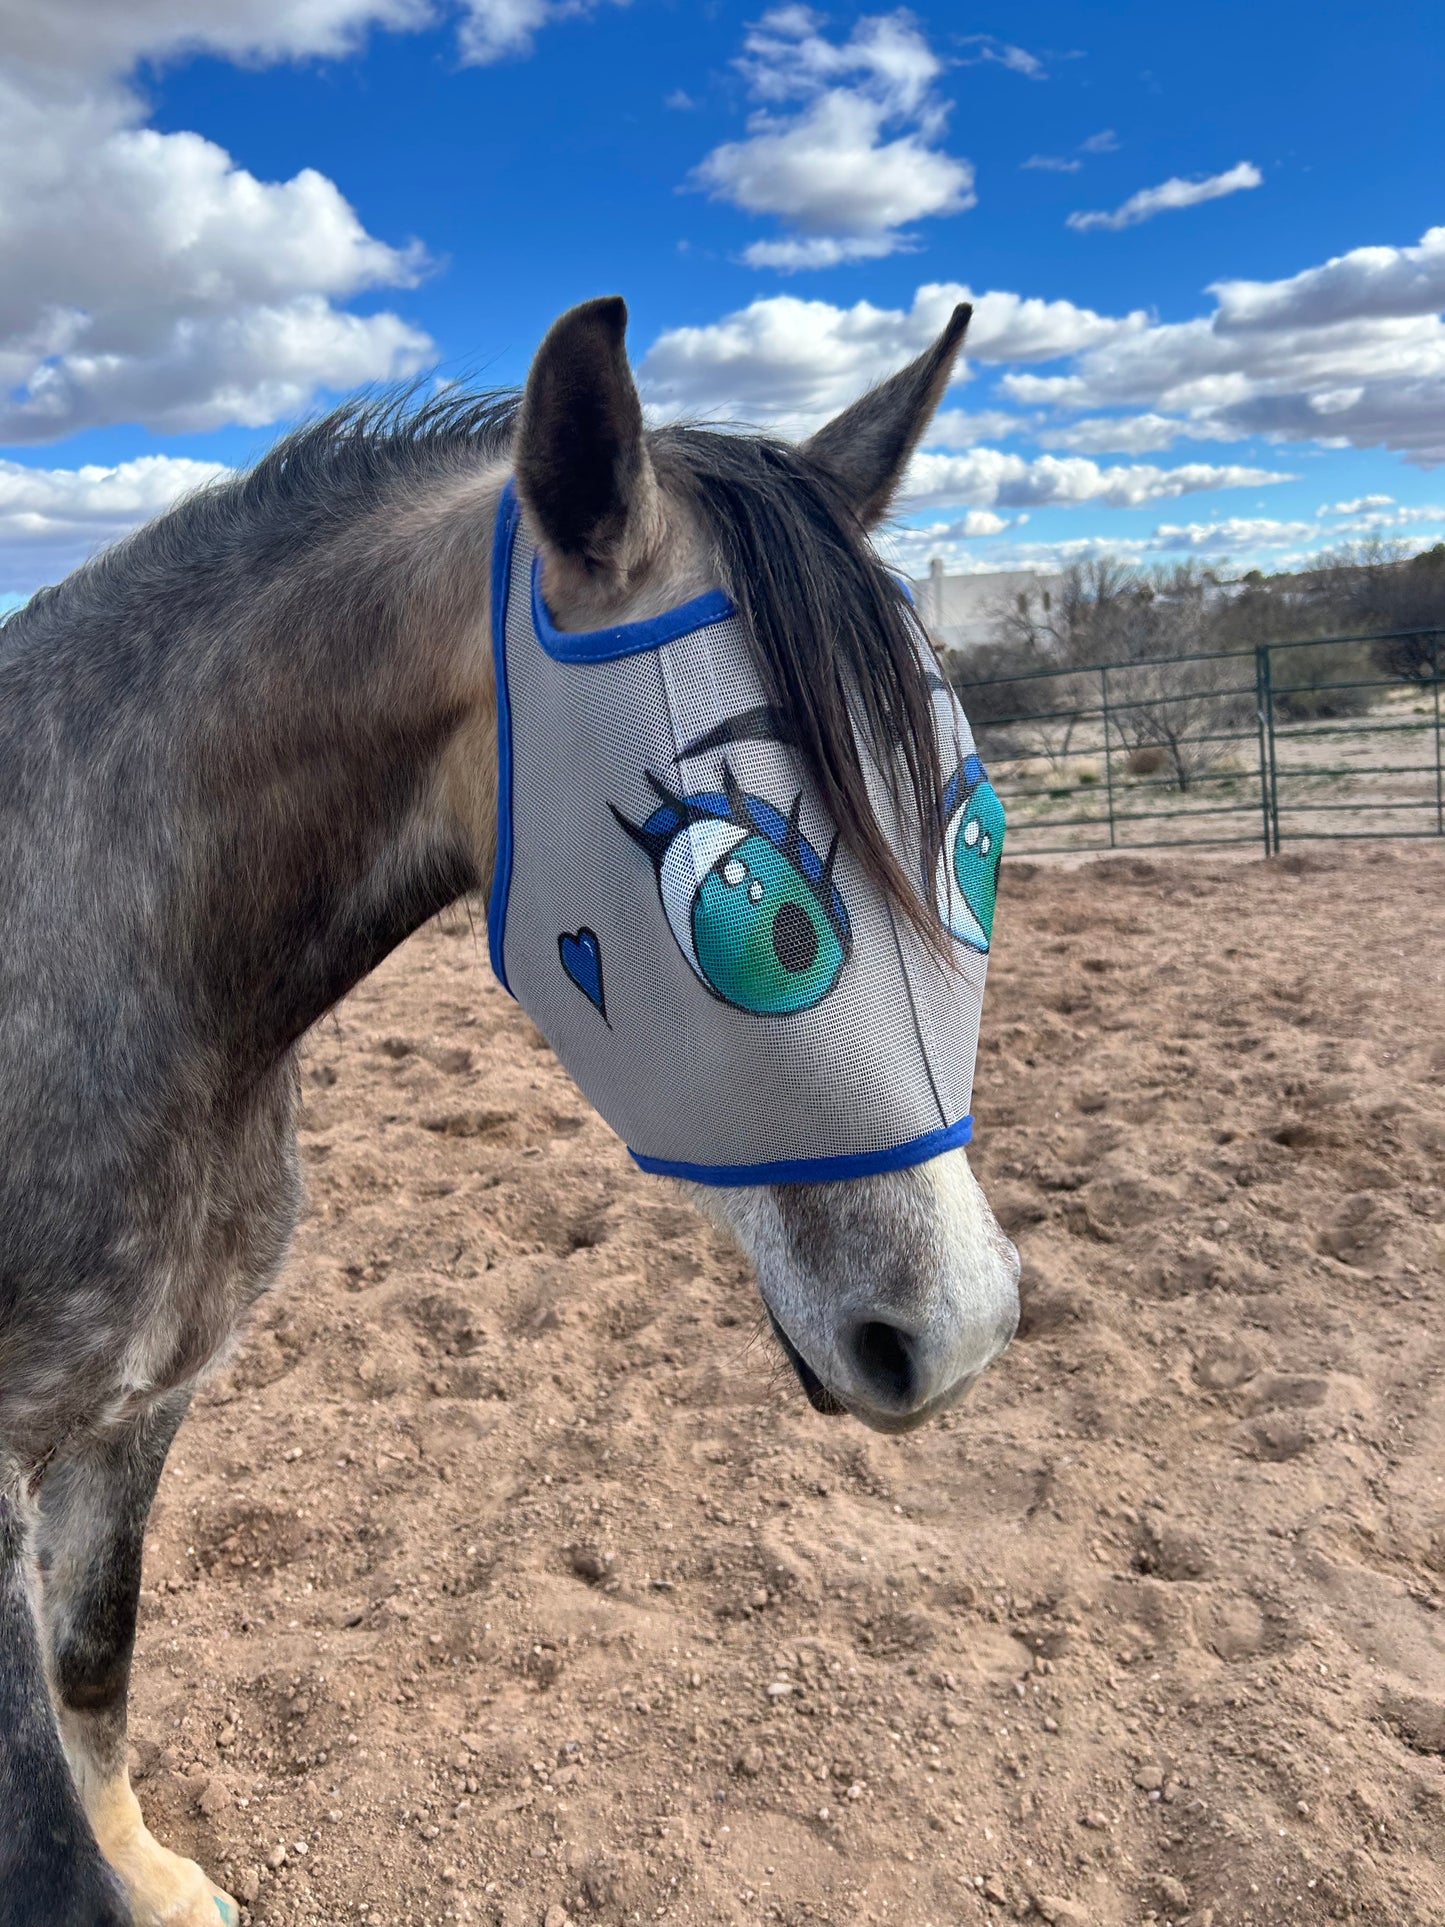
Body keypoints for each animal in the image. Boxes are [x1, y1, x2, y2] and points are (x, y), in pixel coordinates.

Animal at [0, 292, 1024, 1919]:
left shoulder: (132, 1414)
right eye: (750, 913)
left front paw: (152, 1878)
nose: (960, 1328)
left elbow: (94, 1671)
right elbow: (38, 1827)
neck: (90, 950)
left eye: (972, 833)